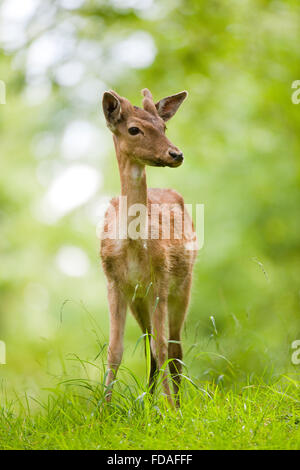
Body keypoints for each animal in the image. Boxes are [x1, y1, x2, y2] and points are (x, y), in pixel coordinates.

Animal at [101, 90, 198, 406]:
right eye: (134, 129)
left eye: (163, 126)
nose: (176, 154)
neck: (133, 245)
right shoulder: (115, 284)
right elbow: (115, 351)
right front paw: (103, 410)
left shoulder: (160, 282)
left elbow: (163, 347)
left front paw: (171, 409)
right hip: (138, 299)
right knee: (151, 348)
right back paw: (150, 402)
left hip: (183, 285)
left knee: (175, 348)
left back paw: (176, 403)